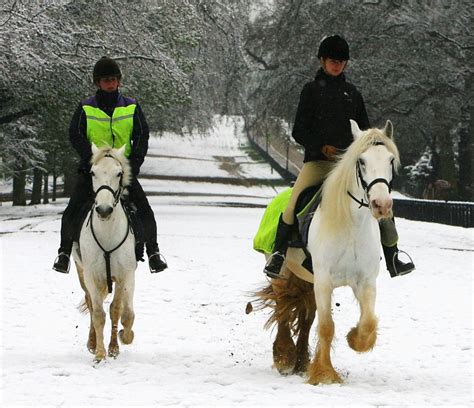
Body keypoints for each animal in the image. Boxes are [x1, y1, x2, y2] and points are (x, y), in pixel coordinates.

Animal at [73, 145, 137, 362]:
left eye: (119, 173)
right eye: (93, 172)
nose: (103, 210)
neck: (107, 232)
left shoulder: (125, 275)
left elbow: (121, 312)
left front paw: (120, 342)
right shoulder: (91, 276)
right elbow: (99, 314)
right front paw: (100, 354)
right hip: (82, 274)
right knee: (92, 305)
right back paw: (92, 343)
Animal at [252, 119, 400, 384]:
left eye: (390, 160)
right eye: (361, 162)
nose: (381, 205)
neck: (352, 225)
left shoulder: (365, 281)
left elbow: (367, 322)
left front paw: (354, 340)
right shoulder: (323, 280)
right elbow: (326, 326)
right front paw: (324, 374)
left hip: (307, 280)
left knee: (306, 317)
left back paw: (301, 362)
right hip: (282, 273)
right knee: (282, 309)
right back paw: (284, 357)